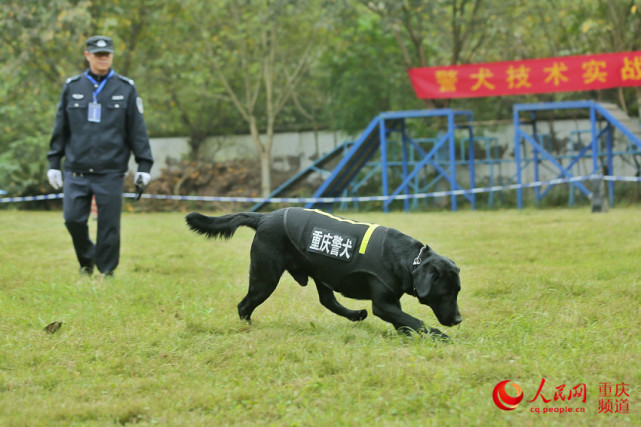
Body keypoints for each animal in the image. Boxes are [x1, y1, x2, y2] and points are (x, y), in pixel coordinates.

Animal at [185, 209, 460, 340]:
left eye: (457, 291)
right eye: (445, 293)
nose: (458, 320)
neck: (410, 259)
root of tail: (264, 217)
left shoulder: (392, 301)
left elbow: (405, 321)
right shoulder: (383, 304)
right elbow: (415, 320)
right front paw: (440, 336)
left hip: (320, 270)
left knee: (327, 300)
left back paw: (354, 314)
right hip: (265, 277)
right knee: (244, 305)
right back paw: (248, 327)